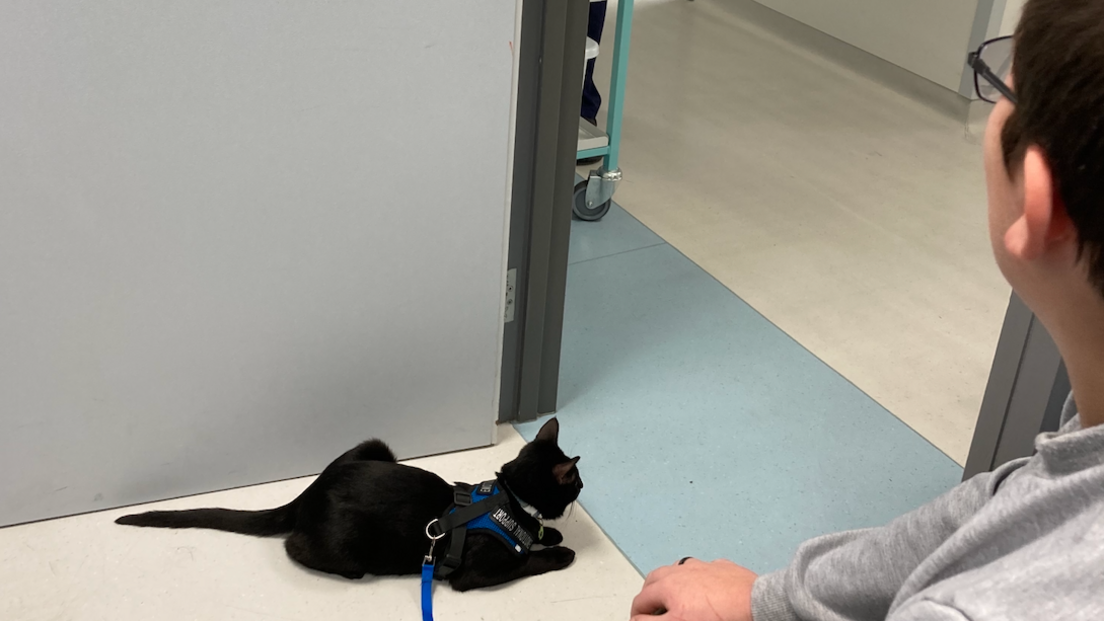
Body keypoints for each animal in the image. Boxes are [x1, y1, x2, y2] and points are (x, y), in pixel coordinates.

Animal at [115, 415, 582, 587]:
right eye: (576, 482)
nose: (582, 488)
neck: (511, 499)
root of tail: (307, 495)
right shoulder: (472, 575)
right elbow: (524, 563)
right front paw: (560, 553)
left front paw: (551, 535)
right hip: (349, 550)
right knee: (294, 546)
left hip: (374, 446)